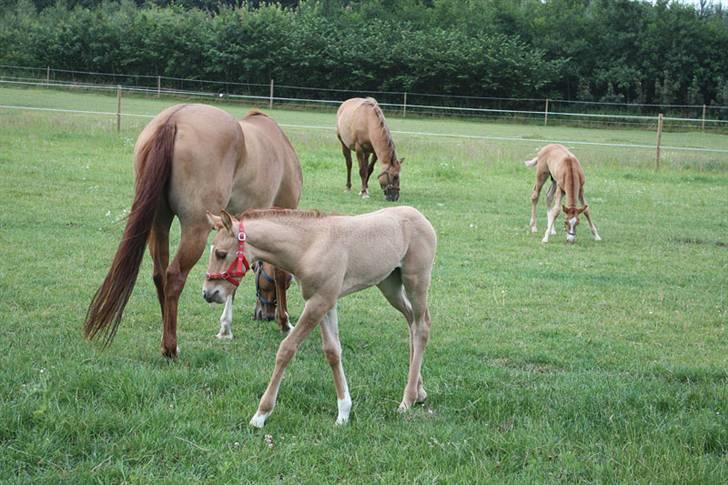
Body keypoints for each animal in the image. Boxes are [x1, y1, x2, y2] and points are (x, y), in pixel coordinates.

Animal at [82, 104, 302, 358]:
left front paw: (225, 328)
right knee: (174, 276)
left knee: (160, 275)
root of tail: (173, 119)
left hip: (159, 222)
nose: (263, 315)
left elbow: (232, 277)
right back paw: (170, 348)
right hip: (195, 229)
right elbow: (279, 273)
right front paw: (284, 322)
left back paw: (168, 341)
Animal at [202, 206, 436, 426]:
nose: (208, 293)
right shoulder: (325, 303)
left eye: (221, 253)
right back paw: (419, 391)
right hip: (389, 284)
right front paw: (343, 412)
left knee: (422, 326)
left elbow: (286, 349)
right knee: (411, 321)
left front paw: (261, 415)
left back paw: (407, 400)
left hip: (416, 280)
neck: (309, 245)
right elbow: (332, 351)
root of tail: (420, 216)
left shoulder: (319, 302)